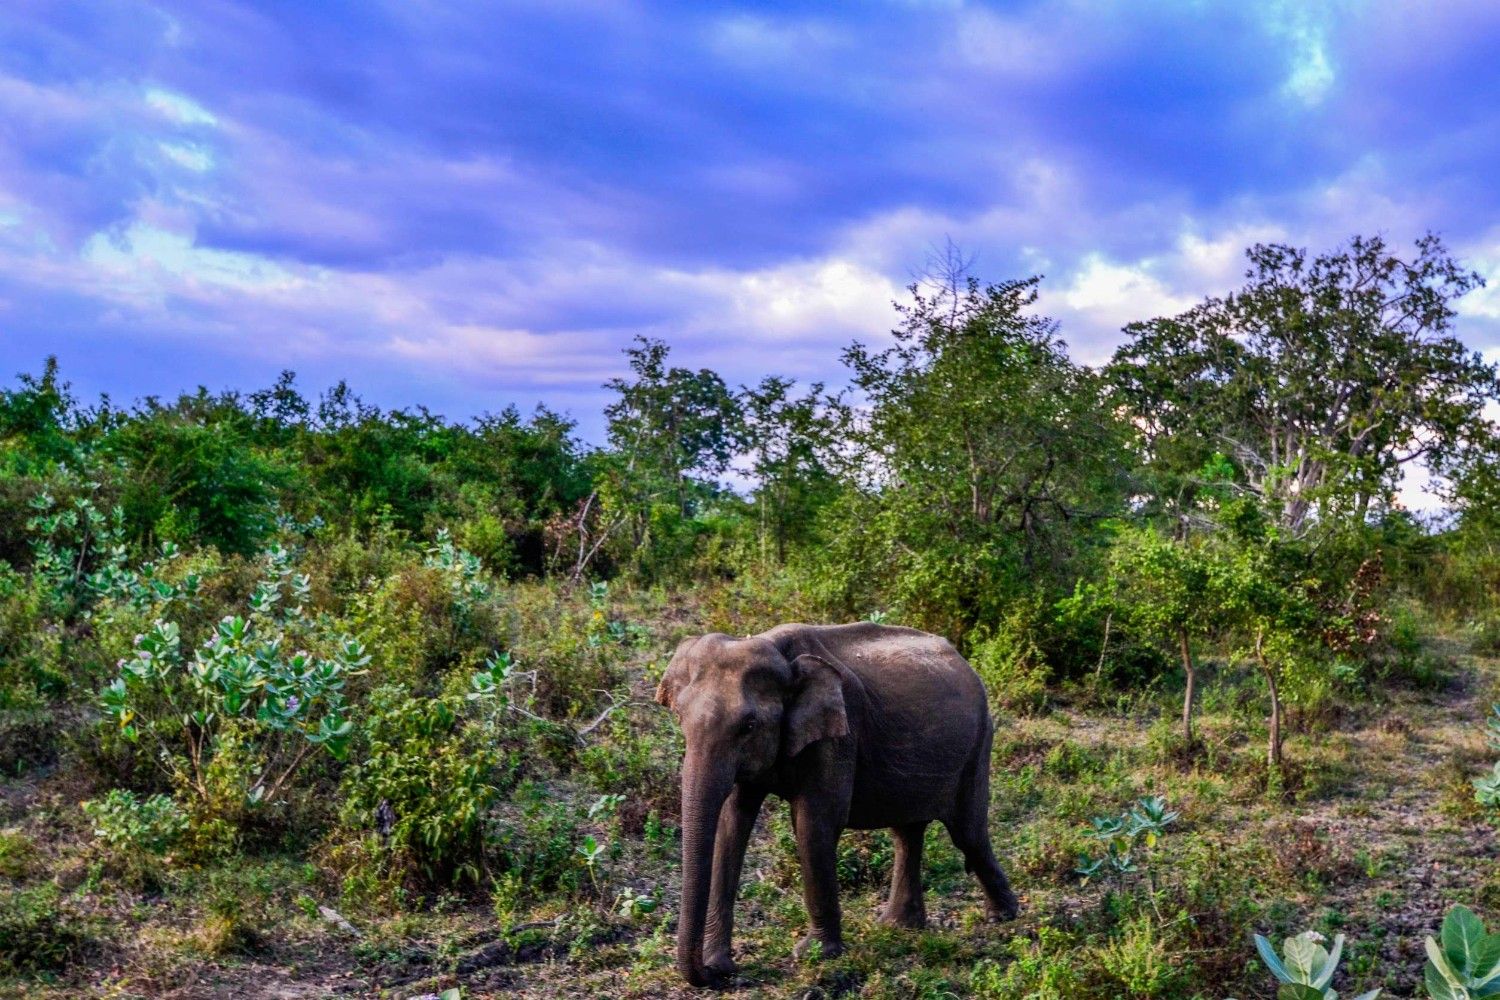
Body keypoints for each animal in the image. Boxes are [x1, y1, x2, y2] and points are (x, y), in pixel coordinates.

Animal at [654, 622, 1020, 988]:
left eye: (749, 726)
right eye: (680, 718)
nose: (716, 975)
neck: (778, 651)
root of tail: (964, 662)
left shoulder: (840, 734)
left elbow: (813, 824)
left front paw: (814, 955)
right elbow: (732, 826)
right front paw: (721, 961)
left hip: (978, 743)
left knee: (967, 833)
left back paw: (1001, 917)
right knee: (907, 832)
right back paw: (898, 926)